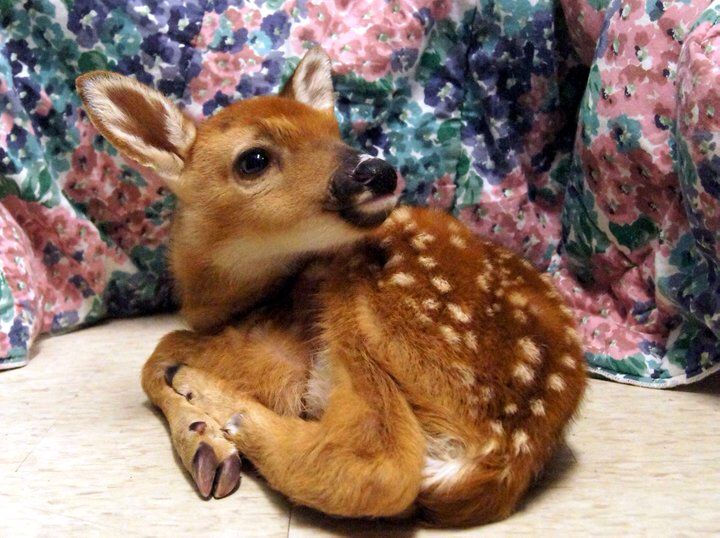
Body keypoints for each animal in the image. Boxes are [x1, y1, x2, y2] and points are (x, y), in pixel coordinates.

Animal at [76, 47, 586, 527]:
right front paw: (204, 438)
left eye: (334, 135)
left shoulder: (272, 353)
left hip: (366, 309)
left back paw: (219, 405)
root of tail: (505, 456)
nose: (377, 171)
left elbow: (157, 355)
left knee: (381, 462)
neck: (224, 305)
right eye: (253, 159)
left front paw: (205, 437)